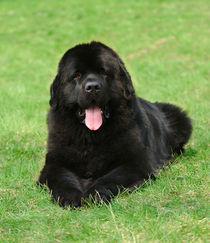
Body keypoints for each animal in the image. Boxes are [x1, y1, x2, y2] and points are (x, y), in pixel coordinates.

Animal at [37, 41, 192, 207]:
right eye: (77, 75)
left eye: (104, 73)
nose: (92, 87)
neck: (90, 136)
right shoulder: (55, 164)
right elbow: (64, 180)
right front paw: (70, 197)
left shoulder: (134, 163)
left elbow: (109, 178)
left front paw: (95, 194)